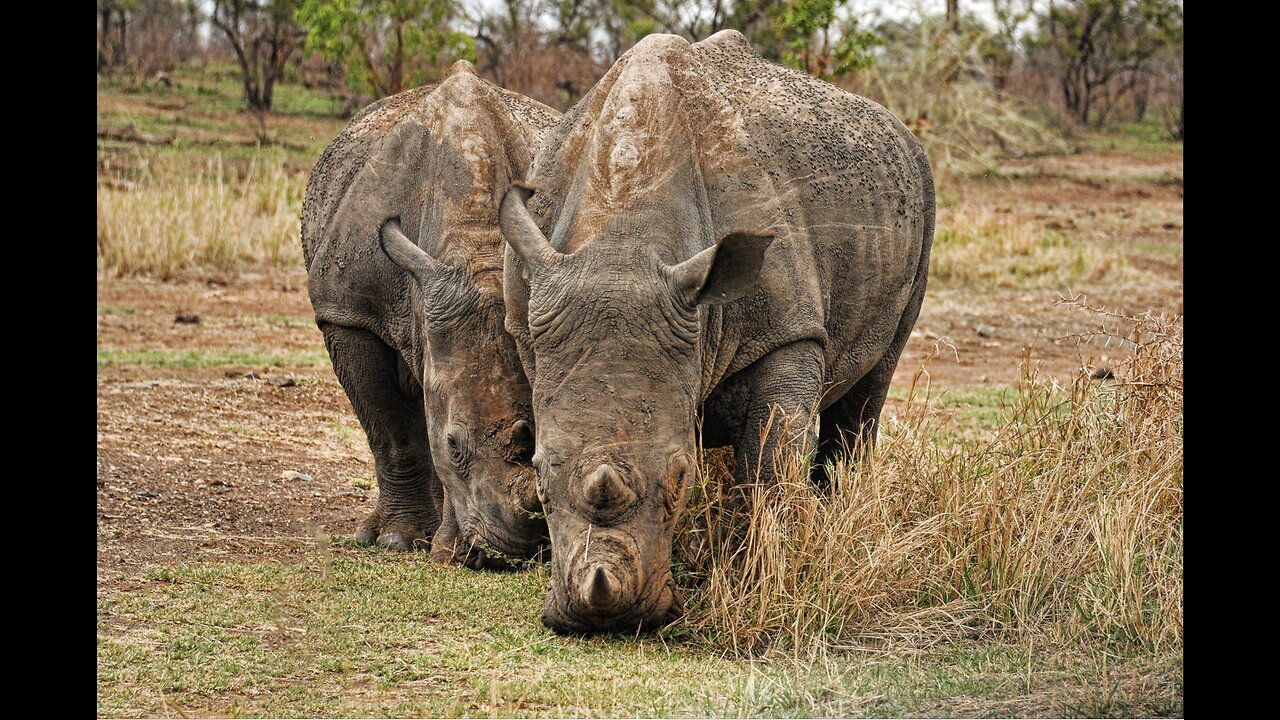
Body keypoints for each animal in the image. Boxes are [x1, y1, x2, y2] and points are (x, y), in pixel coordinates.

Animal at [501, 33, 942, 627]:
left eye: (682, 477)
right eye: (540, 476)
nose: (606, 620)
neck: (623, 241)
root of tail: (900, 129)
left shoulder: (787, 330)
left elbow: (772, 458)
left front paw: (763, 575)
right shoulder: (531, 327)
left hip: (921, 194)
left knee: (874, 380)